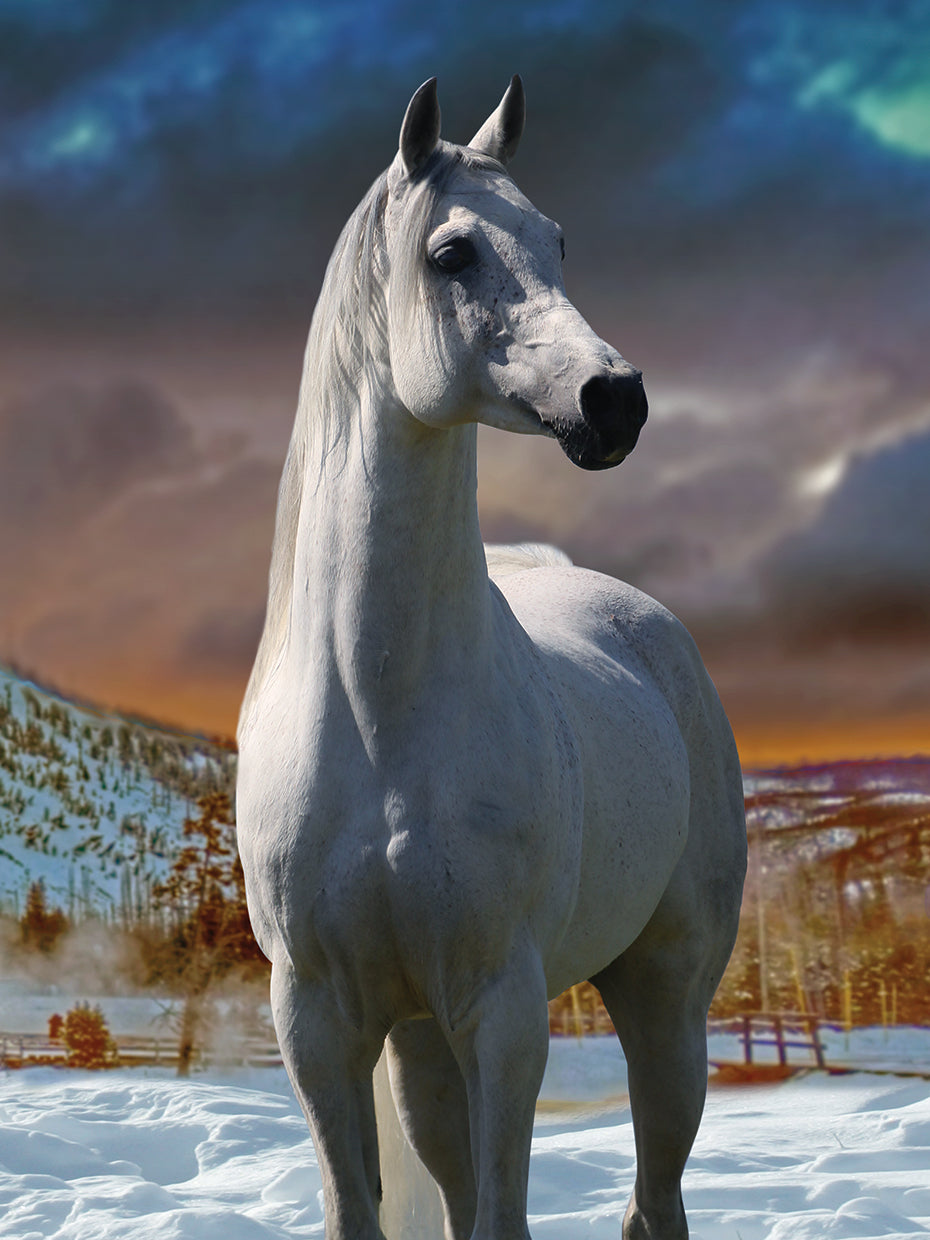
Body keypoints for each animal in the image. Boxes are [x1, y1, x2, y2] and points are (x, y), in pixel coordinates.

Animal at [236, 76, 747, 1240]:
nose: (615, 400)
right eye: (453, 252)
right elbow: (368, 1208)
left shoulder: (503, 1010)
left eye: (559, 241)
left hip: (667, 999)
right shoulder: (320, 1018)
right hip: (423, 1043)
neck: (379, 712)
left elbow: (504, 1214)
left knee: (656, 1195)